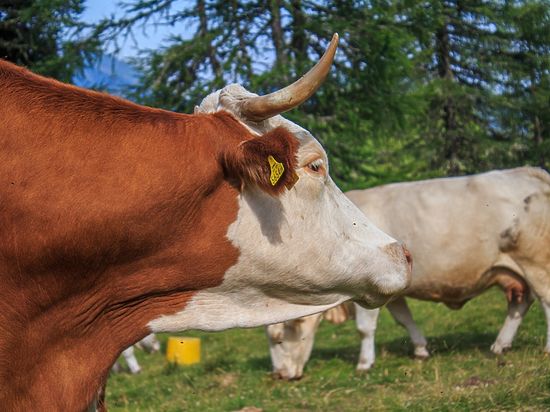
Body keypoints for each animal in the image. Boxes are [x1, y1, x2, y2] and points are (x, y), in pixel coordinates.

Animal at [270, 168, 550, 380]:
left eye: (280, 338)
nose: (280, 375)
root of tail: (528, 171)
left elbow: (364, 328)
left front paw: (364, 363)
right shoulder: (392, 290)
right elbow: (405, 319)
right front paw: (421, 349)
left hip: (535, 264)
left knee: (546, 301)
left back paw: (546, 348)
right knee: (519, 304)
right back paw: (500, 345)